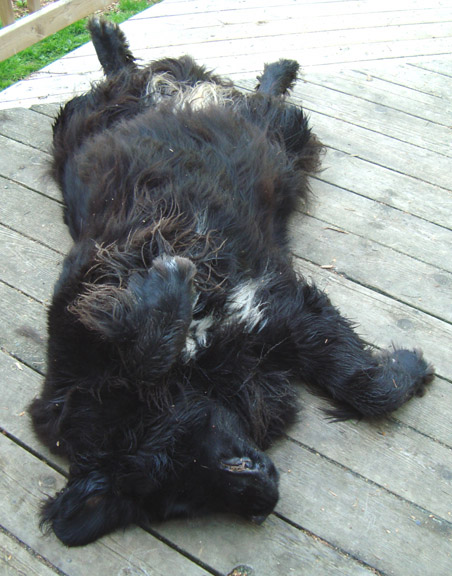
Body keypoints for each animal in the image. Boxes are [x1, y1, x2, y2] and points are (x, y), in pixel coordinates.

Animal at [29, 18, 434, 546]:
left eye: (177, 453)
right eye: (182, 504)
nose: (266, 500)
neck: (205, 367)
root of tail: (171, 93)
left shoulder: (81, 304)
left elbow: (135, 353)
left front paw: (168, 290)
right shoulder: (287, 315)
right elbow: (365, 386)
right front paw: (410, 368)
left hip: (108, 123)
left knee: (230, 92)